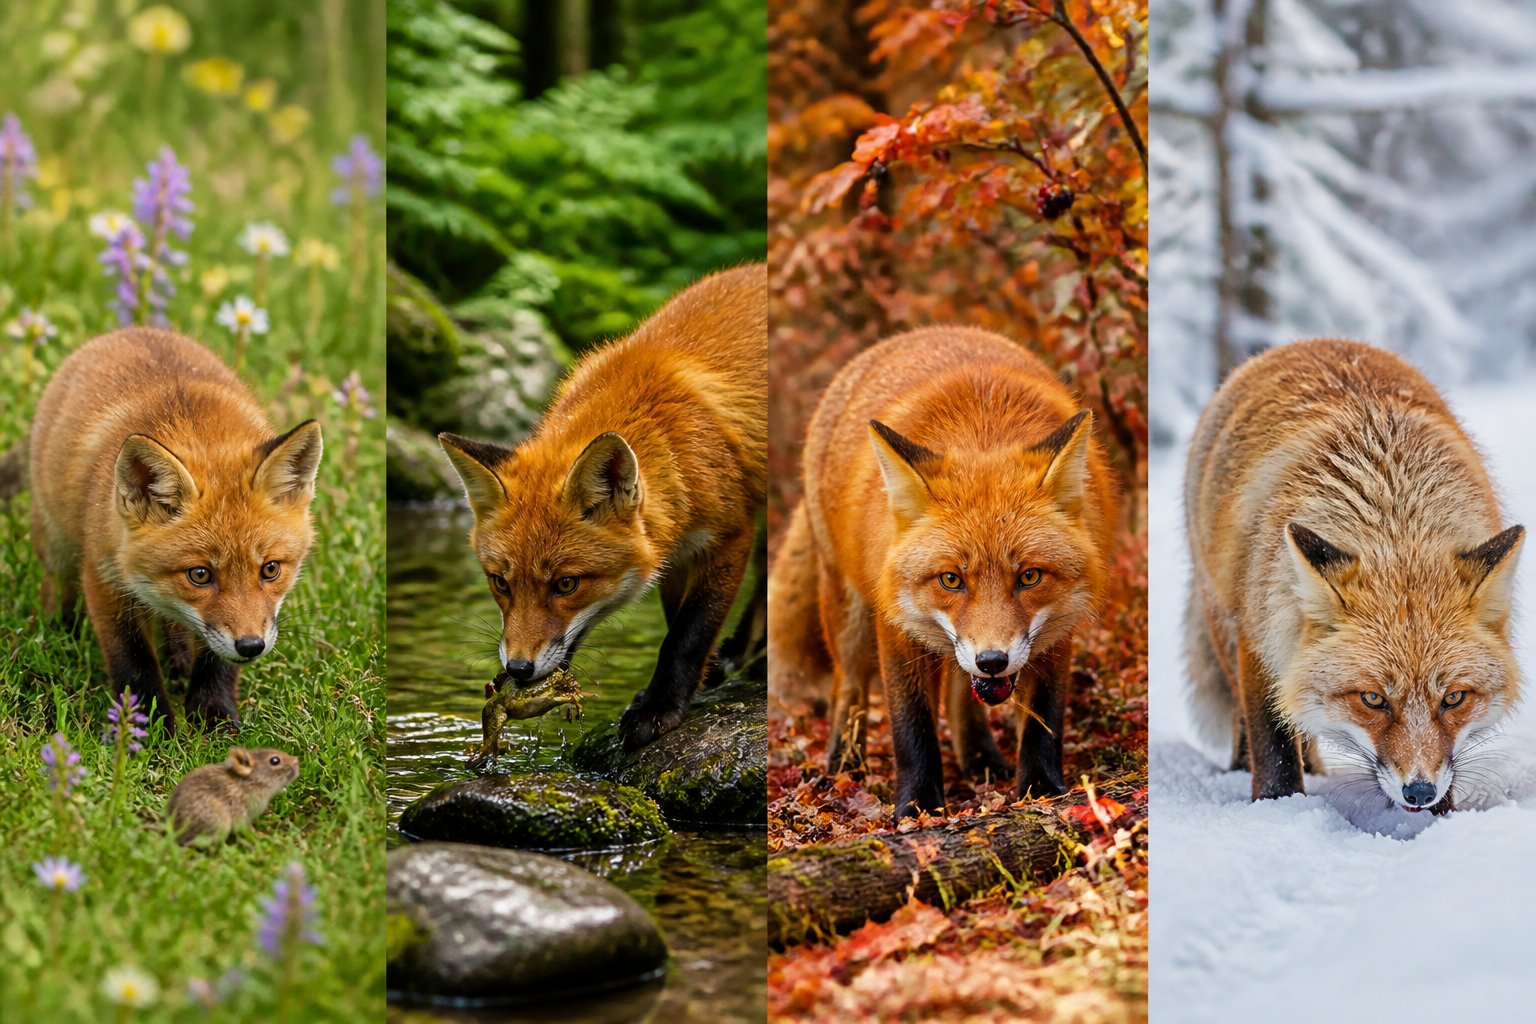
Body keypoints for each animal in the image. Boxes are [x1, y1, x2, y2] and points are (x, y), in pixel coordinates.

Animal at [29, 328, 324, 731]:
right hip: (57, 541)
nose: (251, 646)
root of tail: (131, 329)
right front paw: (145, 727)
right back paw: (56, 628)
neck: (194, 429)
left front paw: (214, 716)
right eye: (200, 575)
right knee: (55, 584)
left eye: (270, 569)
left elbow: (216, 661)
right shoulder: (104, 575)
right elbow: (132, 661)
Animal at [437, 264, 767, 752]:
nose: (517, 669)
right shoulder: (672, 551)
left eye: (566, 584)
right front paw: (665, 693)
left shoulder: (728, 534)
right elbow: (674, 623)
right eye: (500, 582)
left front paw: (659, 709)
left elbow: (686, 635)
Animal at [768, 326, 1117, 818]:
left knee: (957, 694)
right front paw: (917, 806)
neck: (982, 430)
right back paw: (844, 765)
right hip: (847, 609)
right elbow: (911, 725)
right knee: (848, 686)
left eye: (1029, 577)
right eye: (951, 579)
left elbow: (1044, 719)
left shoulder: (1058, 626)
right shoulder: (896, 622)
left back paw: (980, 758)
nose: (993, 660)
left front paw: (1041, 789)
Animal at [1185, 339, 1523, 813]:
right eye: (1373, 699)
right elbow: (1274, 745)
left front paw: (1441, 820)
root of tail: (1313, 341)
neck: (1395, 520)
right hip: (1225, 615)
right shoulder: (1262, 629)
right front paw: (1277, 807)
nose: (1419, 792)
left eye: (1453, 698)